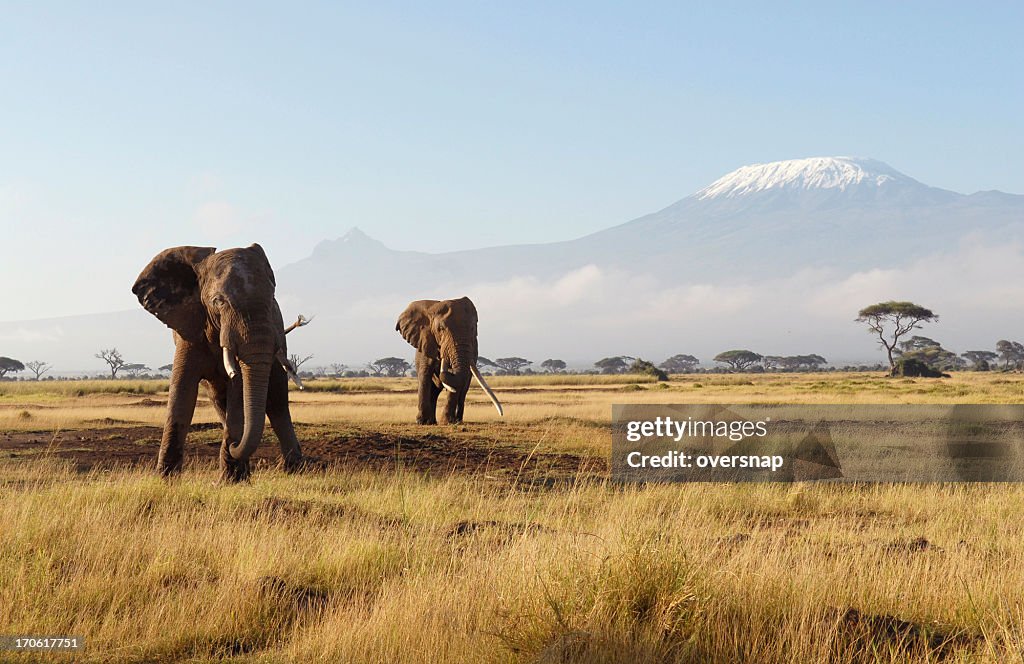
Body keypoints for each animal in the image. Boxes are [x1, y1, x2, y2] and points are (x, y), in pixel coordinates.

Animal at [136, 243, 311, 481]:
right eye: (219, 301)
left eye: (272, 299)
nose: (234, 445)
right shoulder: (190, 330)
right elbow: (182, 390)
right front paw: (165, 479)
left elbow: (239, 391)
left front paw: (231, 480)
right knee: (219, 400)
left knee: (277, 402)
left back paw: (294, 469)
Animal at [393, 297, 501, 426]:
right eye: (441, 329)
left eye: (472, 329)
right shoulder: (426, 343)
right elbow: (425, 375)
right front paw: (422, 422)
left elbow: (457, 381)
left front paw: (447, 422)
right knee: (434, 390)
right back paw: (432, 422)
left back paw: (456, 420)